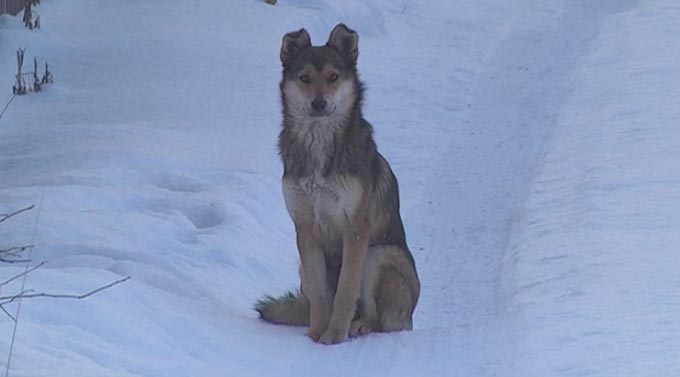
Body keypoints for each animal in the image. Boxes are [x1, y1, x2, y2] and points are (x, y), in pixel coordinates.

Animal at [256, 23, 420, 344]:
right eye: (305, 78)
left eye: (333, 77)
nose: (318, 103)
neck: (319, 143)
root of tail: (411, 313)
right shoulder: (305, 228)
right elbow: (320, 295)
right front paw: (317, 331)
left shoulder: (355, 230)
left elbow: (345, 292)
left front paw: (334, 335)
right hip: (303, 266)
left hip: (378, 255)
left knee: (378, 319)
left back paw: (359, 326)